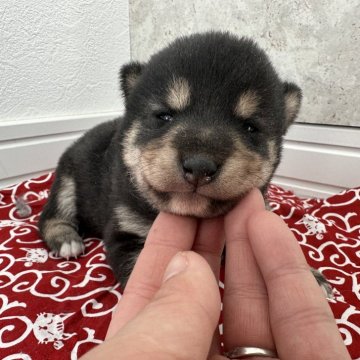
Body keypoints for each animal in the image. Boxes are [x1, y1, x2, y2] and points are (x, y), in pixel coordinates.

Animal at [39, 32, 330, 292]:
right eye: (165, 115)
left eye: (249, 127)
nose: (200, 167)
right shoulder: (126, 233)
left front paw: (310, 277)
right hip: (67, 177)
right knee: (51, 216)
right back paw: (67, 240)